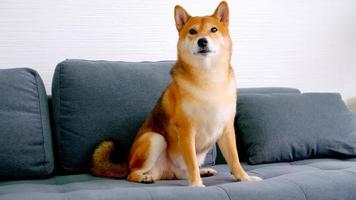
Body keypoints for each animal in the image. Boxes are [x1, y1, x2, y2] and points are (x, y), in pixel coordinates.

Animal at [92, 1, 262, 188]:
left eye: (214, 30)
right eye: (192, 32)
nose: (202, 41)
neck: (209, 78)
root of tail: (167, 172)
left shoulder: (226, 130)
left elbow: (234, 159)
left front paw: (244, 178)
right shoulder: (187, 131)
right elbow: (192, 163)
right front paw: (196, 185)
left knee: (182, 172)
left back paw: (204, 171)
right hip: (155, 139)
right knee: (132, 173)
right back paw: (143, 177)